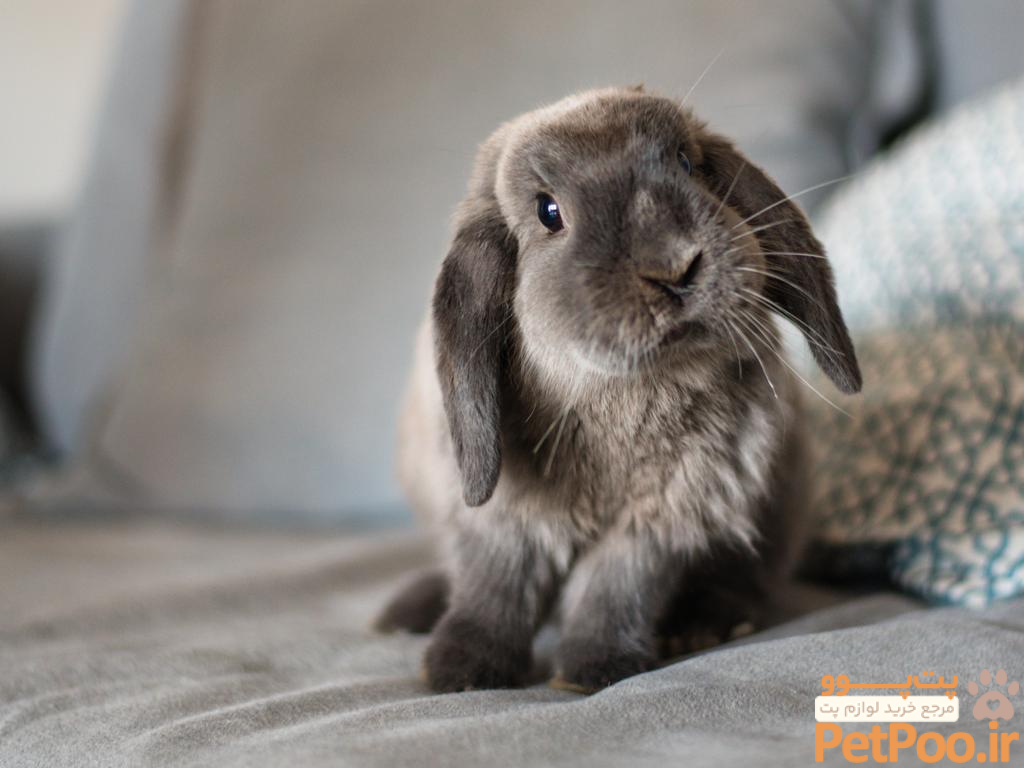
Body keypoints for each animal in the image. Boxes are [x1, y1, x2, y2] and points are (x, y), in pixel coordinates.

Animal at [375, 86, 861, 693]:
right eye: (548, 212)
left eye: (686, 163)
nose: (675, 266)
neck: (624, 394)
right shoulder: (503, 518)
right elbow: (496, 584)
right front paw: (460, 670)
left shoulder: (662, 519)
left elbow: (615, 587)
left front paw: (593, 670)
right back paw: (407, 613)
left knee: (747, 581)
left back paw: (704, 625)